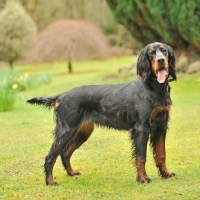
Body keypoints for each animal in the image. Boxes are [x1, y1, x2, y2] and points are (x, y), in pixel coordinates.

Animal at [27, 41, 177, 185]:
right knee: (50, 156)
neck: (155, 87)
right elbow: (141, 157)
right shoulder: (142, 128)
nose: (161, 60)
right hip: (67, 130)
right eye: (151, 53)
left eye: (164, 50)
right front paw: (142, 178)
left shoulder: (161, 125)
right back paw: (50, 181)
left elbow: (161, 154)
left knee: (65, 153)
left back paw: (71, 172)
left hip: (83, 131)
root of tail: (61, 96)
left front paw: (166, 174)